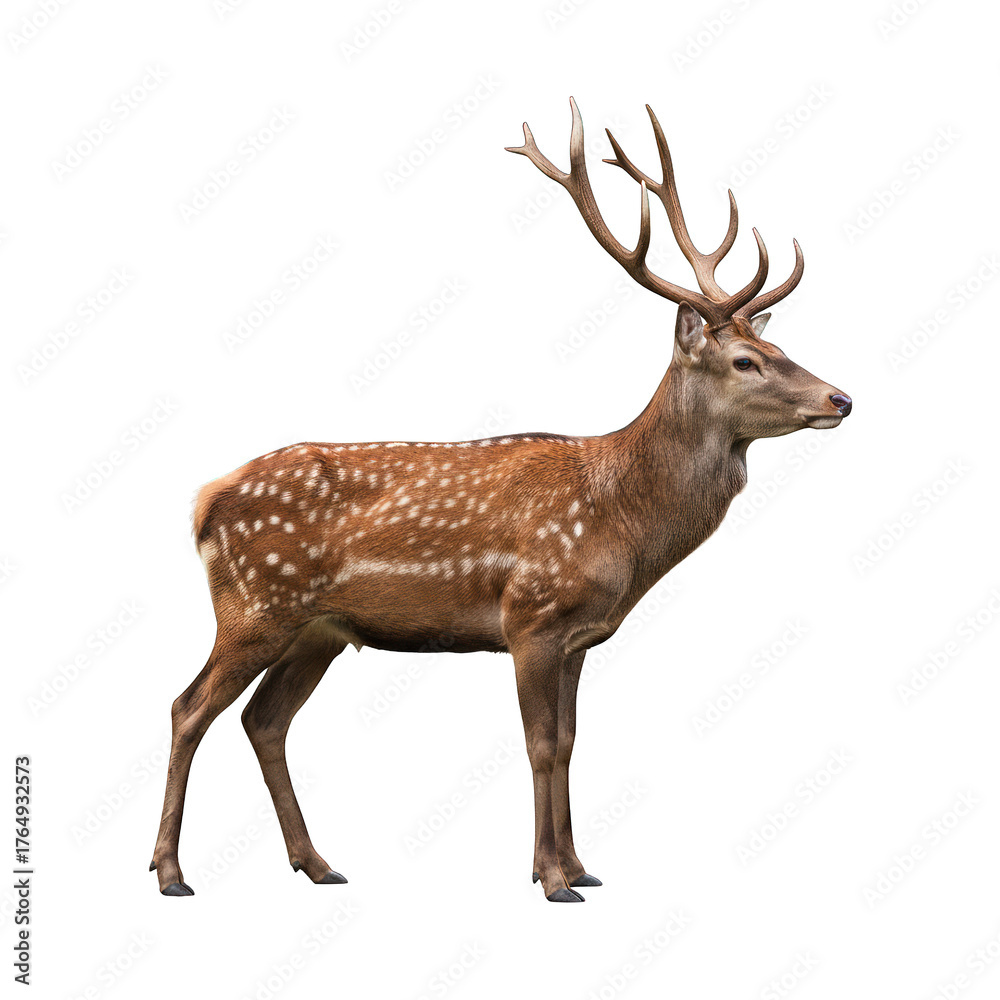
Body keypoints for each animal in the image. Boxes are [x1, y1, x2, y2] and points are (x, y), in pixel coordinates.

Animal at [151, 97, 851, 903]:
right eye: (745, 361)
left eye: (781, 349)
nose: (841, 398)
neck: (621, 520)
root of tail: (205, 501)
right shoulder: (531, 616)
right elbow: (541, 745)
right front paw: (551, 879)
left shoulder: (581, 636)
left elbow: (572, 743)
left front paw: (582, 866)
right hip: (255, 605)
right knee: (188, 708)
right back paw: (171, 872)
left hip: (317, 629)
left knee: (264, 721)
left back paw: (319, 864)